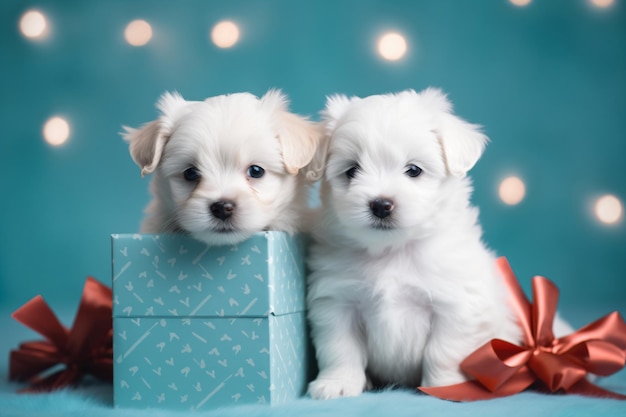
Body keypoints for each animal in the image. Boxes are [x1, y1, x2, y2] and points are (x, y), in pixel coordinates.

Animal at [302, 88, 520, 400]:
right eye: (352, 171)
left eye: (414, 170)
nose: (381, 205)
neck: (393, 250)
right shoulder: (336, 302)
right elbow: (339, 348)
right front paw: (338, 382)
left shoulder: (455, 305)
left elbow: (443, 350)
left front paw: (445, 385)